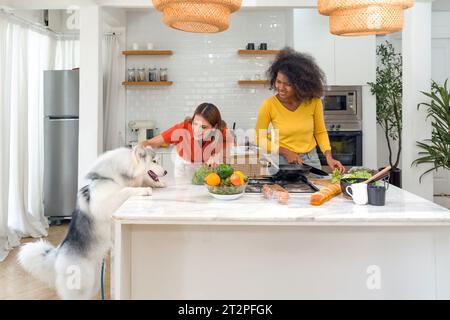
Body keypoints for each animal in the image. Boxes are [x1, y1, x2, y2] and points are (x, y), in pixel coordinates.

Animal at [18, 146, 167, 298]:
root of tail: (58, 254)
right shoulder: (105, 203)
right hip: (82, 284)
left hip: (95, 281)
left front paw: (159, 184)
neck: (111, 177)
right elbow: (125, 190)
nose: (166, 172)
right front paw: (144, 190)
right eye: (154, 161)